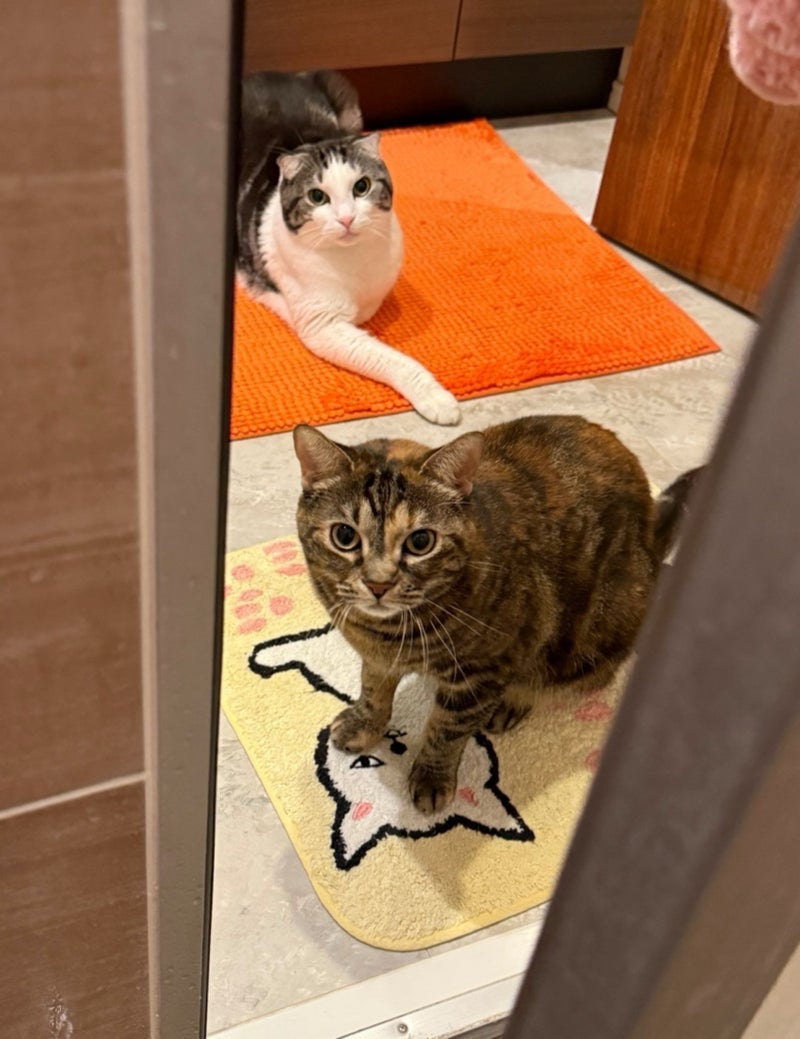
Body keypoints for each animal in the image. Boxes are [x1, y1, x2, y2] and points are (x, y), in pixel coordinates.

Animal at [236, 70, 461, 426]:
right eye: (317, 196)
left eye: (362, 187)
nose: (346, 218)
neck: (355, 261)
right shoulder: (321, 324)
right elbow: (387, 357)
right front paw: (437, 398)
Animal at [293, 415, 702, 814]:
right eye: (345, 536)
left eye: (420, 542)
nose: (378, 583)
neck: (386, 633)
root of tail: (651, 538)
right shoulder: (376, 656)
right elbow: (373, 689)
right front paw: (365, 722)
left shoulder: (481, 674)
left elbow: (447, 729)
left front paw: (431, 776)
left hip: (585, 636)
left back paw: (512, 701)